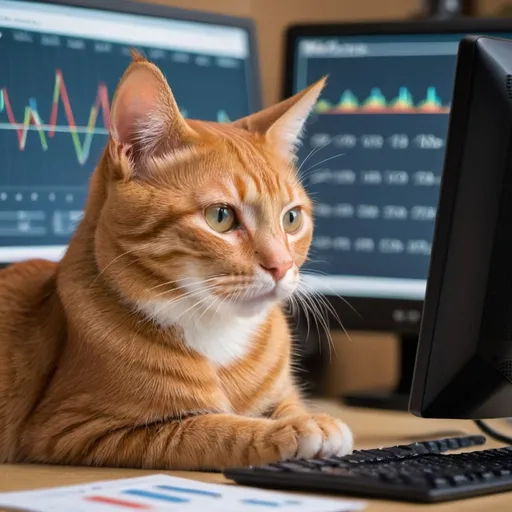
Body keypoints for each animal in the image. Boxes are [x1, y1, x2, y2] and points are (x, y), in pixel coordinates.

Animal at [0, 53, 352, 472]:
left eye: (292, 218)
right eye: (221, 217)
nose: (281, 266)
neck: (219, 332)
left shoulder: (284, 395)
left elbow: (287, 406)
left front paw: (301, 418)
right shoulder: (76, 428)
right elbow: (211, 428)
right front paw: (294, 429)